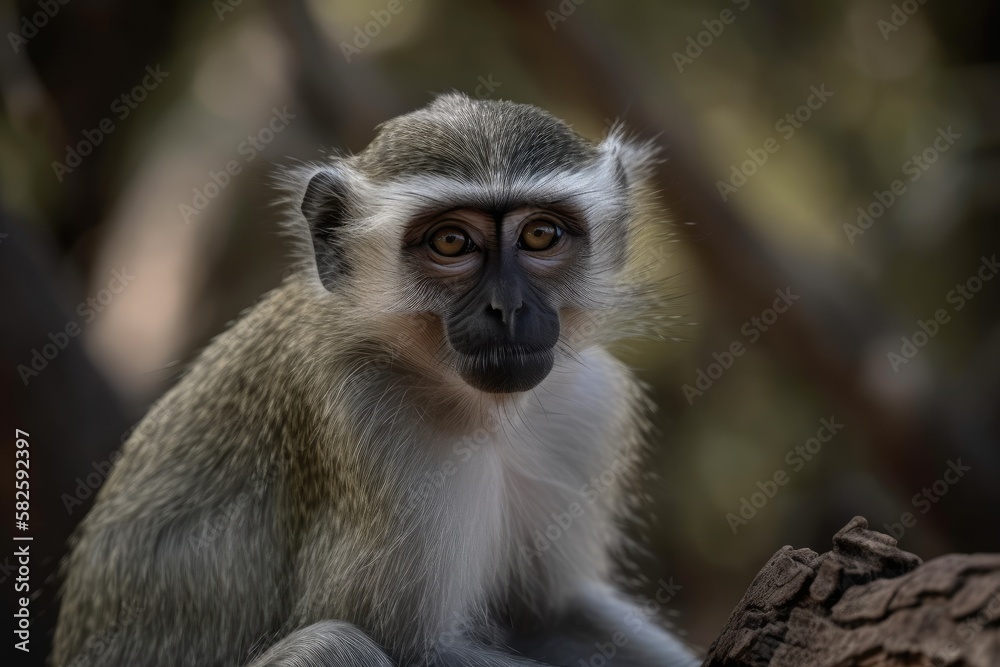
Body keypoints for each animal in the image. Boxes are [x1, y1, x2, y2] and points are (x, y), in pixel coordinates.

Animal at [52, 93, 700, 667]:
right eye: (451, 242)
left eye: (542, 234)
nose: (508, 308)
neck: (477, 409)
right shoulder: (368, 417)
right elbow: (412, 648)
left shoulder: (587, 405)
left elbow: (549, 615)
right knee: (332, 645)